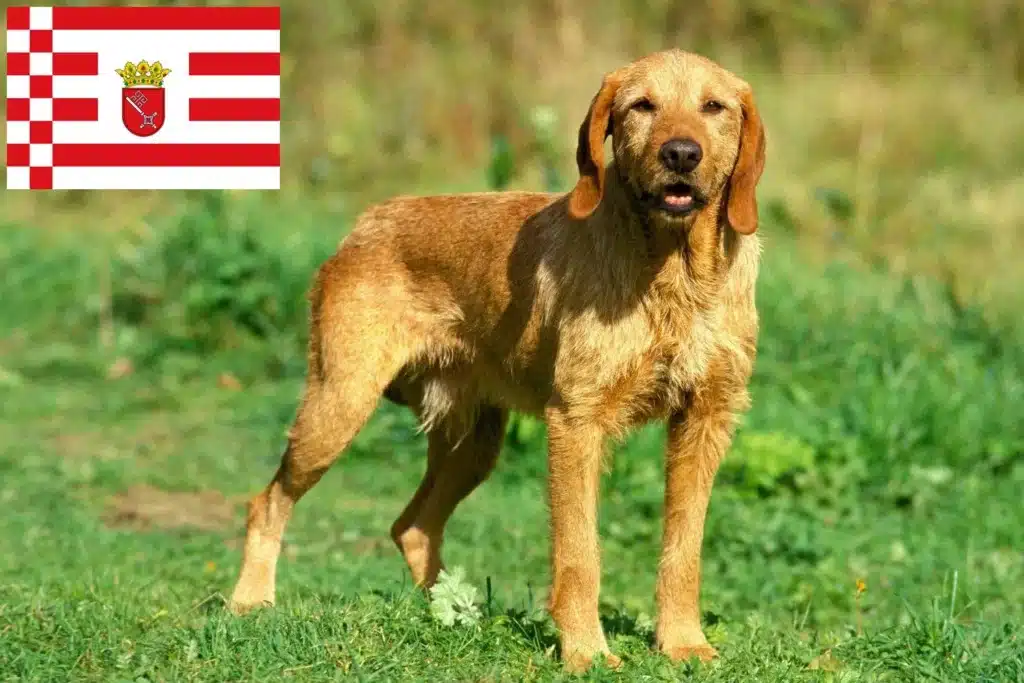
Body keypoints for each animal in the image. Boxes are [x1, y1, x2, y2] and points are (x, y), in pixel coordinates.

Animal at [228, 49, 765, 671]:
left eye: (714, 107)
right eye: (642, 106)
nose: (681, 153)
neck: (676, 273)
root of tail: (365, 224)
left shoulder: (706, 418)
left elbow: (684, 549)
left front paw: (682, 642)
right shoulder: (576, 422)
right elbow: (579, 552)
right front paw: (585, 651)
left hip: (474, 445)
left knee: (413, 526)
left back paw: (452, 613)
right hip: (337, 408)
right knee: (266, 502)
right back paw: (250, 601)